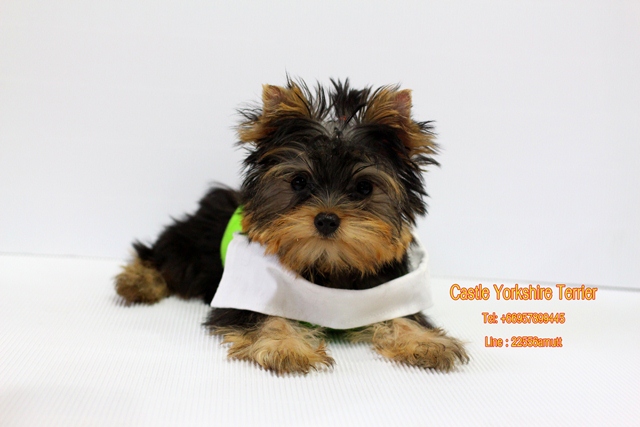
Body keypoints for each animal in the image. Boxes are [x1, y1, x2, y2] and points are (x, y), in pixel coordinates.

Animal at [115, 78, 468, 374]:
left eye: (364, 187)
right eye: (299, 182)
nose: (326, 218)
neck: (328, 264)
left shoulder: (388, 287)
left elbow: (403, 315)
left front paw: (424, 341)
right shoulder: (246, 293)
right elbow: (264, 316)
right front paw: (285, 346)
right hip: (194, 245)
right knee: (162, 254)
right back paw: (138, 281)